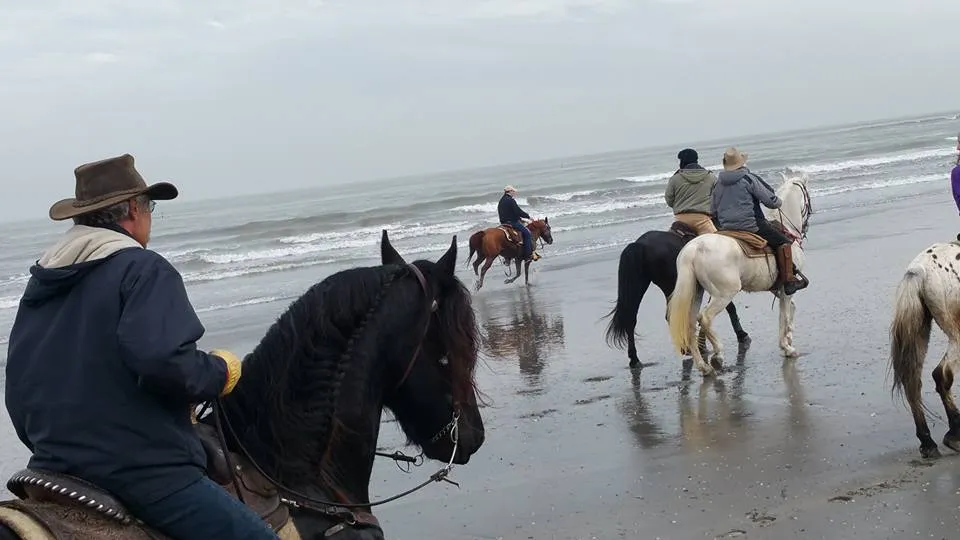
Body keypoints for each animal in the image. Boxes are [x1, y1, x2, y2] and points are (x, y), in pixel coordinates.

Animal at [603, 221, 751, 369]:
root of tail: (640, 244)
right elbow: (729, 308)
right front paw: (741, 335)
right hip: (672, 287)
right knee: (671, 315)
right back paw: (686, 348)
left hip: (640, 285)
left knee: (631, 320)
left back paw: (635, 359)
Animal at [666, 171, 813, 377]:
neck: (787, 232)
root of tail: (694, 248)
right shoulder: (787, 289)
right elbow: (784, 315)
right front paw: (787, 347)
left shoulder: (779, 290)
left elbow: (791, 310)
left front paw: (789, 336)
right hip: (724, 294)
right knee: (705, 318)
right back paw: (717, 355)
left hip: (696, 293)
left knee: (690, 325)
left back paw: (704, 367)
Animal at [889, 239, 960, 459]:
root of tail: (919, 271)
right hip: (957, 333)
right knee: (942, 375)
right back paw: (955, 435)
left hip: (919, 330)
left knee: (913, 383)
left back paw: (928, 442)